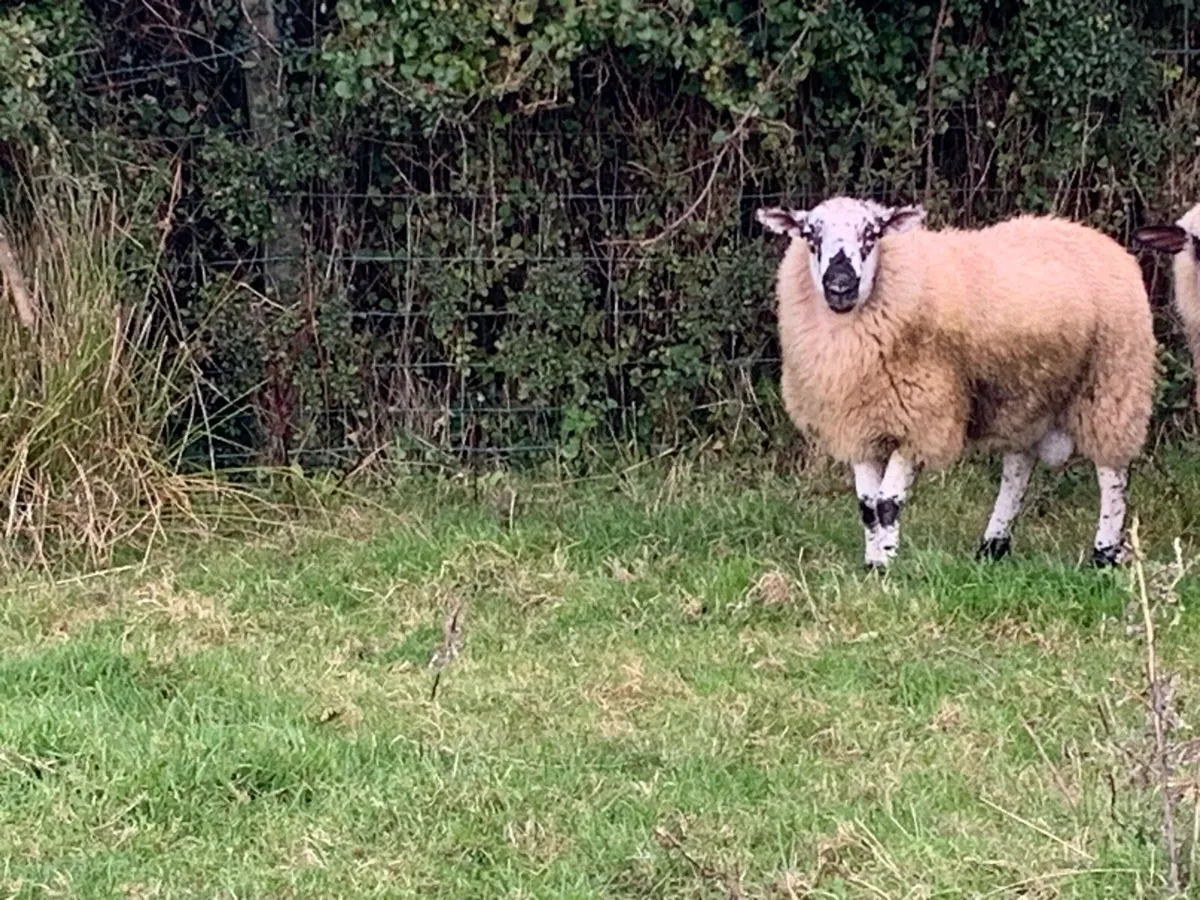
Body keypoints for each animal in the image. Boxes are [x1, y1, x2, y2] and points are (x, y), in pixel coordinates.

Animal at [756, 196, 1157, 569]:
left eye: (872, 234)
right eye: (810, 235)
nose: (840, 286)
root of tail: (1099, 238)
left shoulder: (921, 418)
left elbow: (887, 504)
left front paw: (887, 567)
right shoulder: (859, 424)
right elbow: (867, 507)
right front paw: (872, 563)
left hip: (1112, 385)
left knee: (1112, 475)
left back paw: (1103, 553)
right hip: (1029, 395)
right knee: (1017, 470)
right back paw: (993, 546)